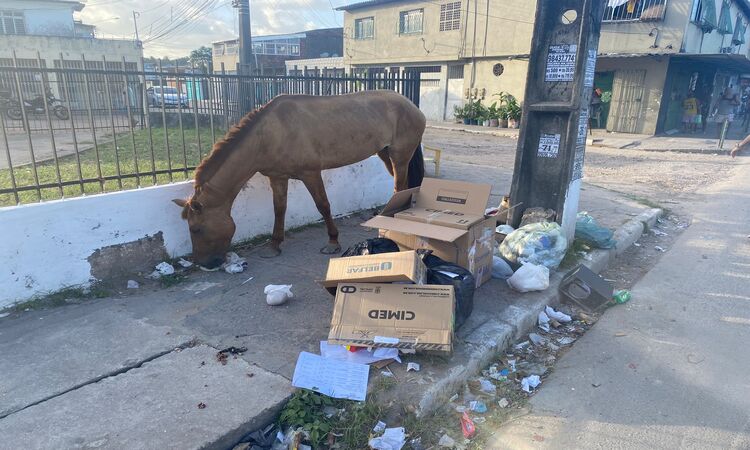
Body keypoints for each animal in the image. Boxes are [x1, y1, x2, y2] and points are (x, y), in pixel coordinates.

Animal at [173, 89, 426, 268]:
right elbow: (279, 209)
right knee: (402, 186)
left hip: (399, 155)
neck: (268, 134)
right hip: (385, 153)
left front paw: (333, 242)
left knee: (399, 186)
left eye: (196, 229)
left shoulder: (310, 174)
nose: (203, 265)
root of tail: (412, 106)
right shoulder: (277, 177)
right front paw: (274, 245)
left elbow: (323, 205)